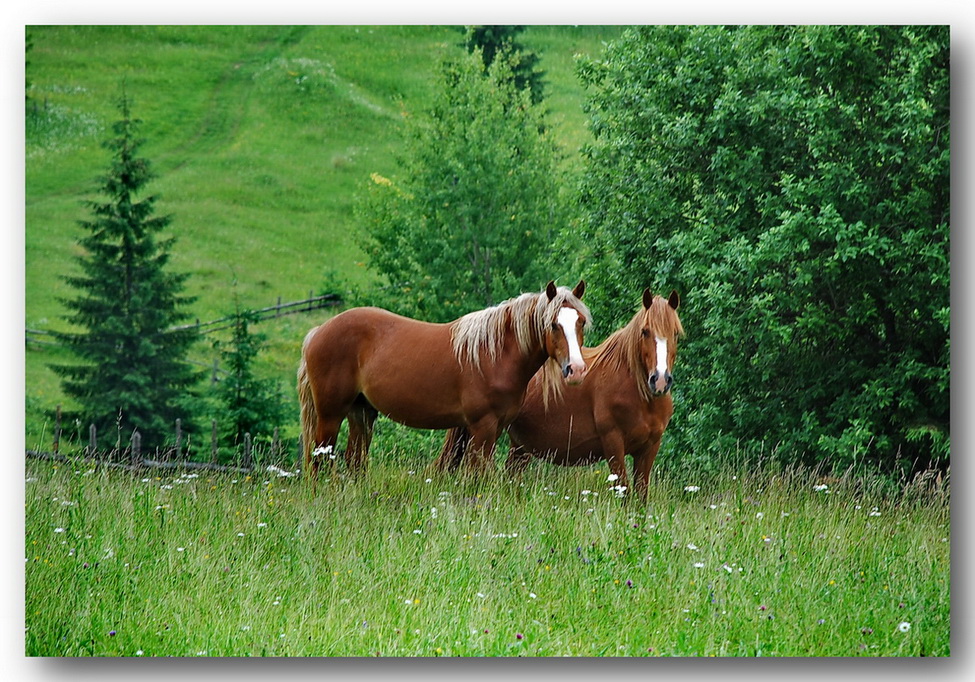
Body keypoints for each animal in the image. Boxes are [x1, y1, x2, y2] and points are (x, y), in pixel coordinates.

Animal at [296, 278, 588, 480]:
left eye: (581, 322)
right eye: (553, 324)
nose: (576, 369)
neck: (495, 354)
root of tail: (317, 331)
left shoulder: (493, 427)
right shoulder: (483, 427)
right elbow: (477, 475)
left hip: (362, 412)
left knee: (354, 460)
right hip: (330, 415)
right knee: (320, 461)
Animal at [434, 286, 688, 500]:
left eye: (676, 334)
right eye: (645, 332)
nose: (660, 380)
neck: (639, 395)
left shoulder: (649, 449)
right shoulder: (614, 444)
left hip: (519, 447)